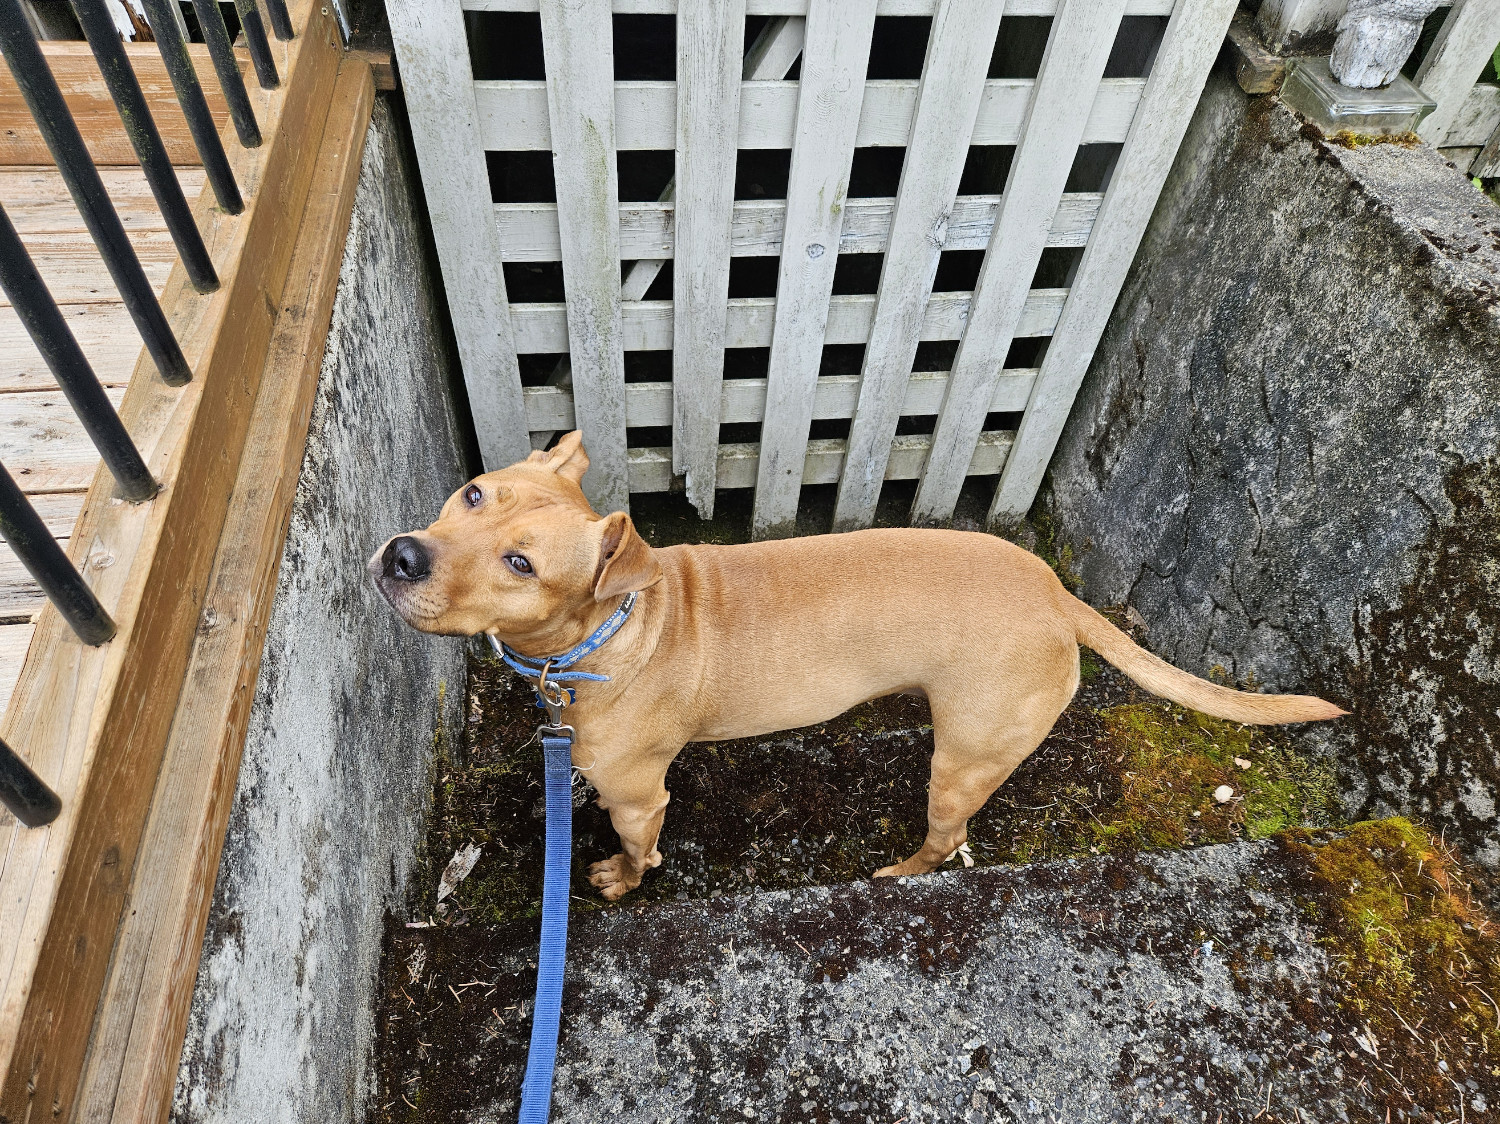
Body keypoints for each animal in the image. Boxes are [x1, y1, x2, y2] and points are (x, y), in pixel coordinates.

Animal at [366, 435, 1350, 900]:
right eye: (473, 492)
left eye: (522, 565)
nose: (403, 556)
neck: (608, 628)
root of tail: (1055, 592)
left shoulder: (642, 796)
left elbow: (640, 848)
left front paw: (617, 878)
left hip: (965, 760)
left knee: (946, 839)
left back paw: (901, 874)